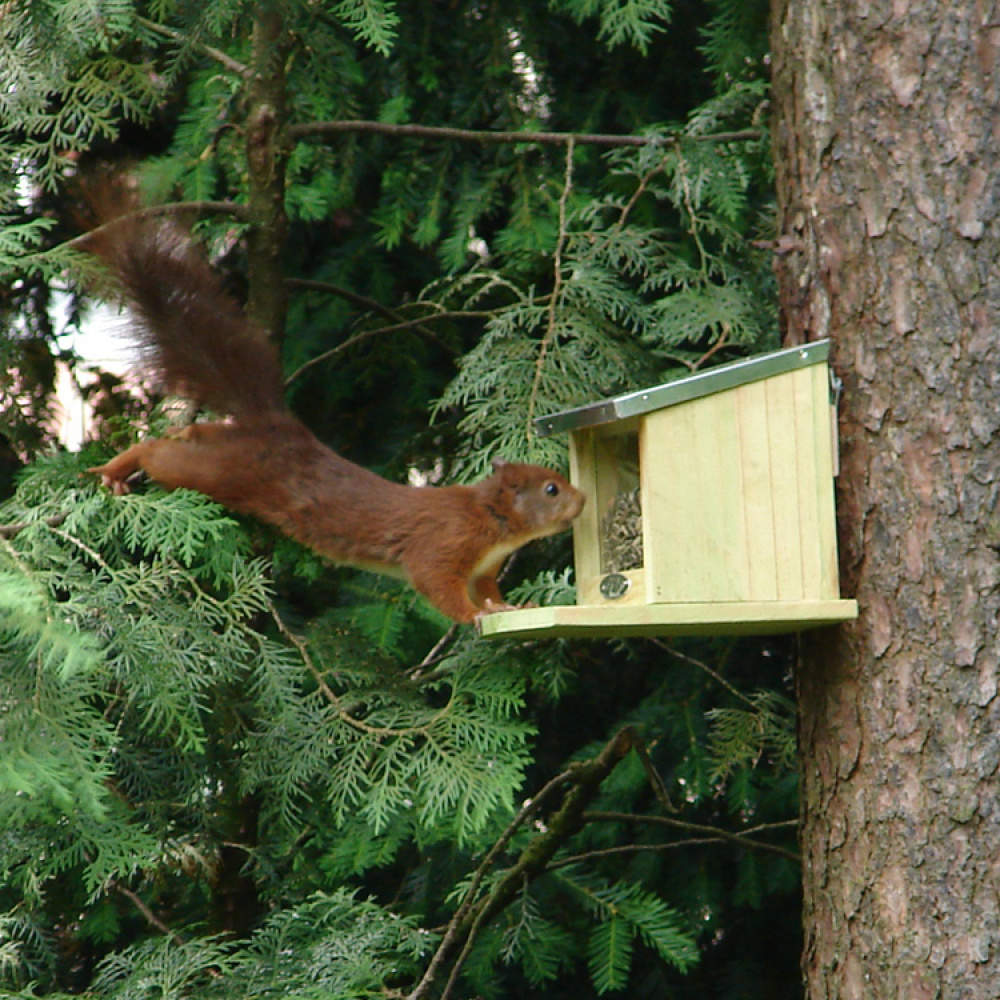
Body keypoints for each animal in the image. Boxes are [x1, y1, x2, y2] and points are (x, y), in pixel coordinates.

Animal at [88, 216, 584, 620]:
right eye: (551, 488)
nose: (582, 501)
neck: (493, 519)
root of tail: (278, 426)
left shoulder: (483, 569)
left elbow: (488, 590)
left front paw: (505, 607)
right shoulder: (444, 545)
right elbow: (437, 584)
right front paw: (475, 616)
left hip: (221, 446)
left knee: (189, 435)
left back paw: (172, 434)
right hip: (223, 471)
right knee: (158, 455)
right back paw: (117, 467)